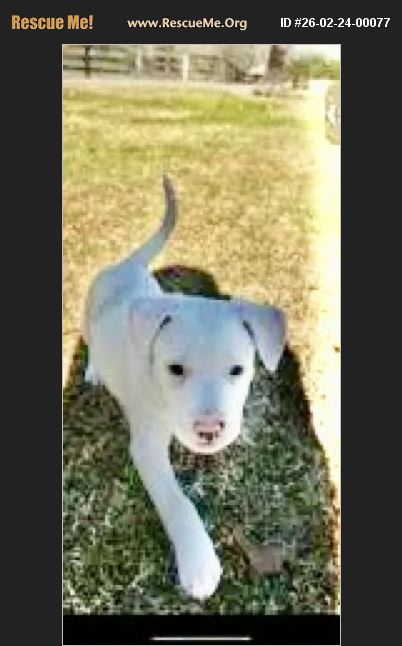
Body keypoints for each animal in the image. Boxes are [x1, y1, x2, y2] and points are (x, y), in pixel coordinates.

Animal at [82, 176, 286, 600]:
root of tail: (126, 265)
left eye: (238, 370)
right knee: (89, 339)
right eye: (175, 369)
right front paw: (199, 562)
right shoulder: (146, 447)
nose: (209, 431)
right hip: (86, 312)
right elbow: (178, 502)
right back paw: (93, 369)